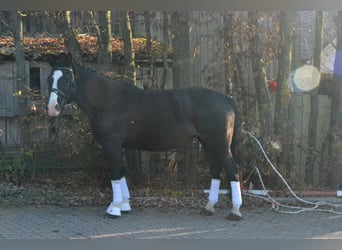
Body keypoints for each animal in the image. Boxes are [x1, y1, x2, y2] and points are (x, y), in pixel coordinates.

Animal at [46, 53, 243, 221]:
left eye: (67, 78)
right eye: (50, 79)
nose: (52, 108)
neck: (108, 101)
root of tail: (226, 98)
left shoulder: (112, 144)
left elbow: (115, 173)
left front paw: (114, 209)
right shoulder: (119, 146)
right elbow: (121, 172)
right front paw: (124, 205)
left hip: (219, 144)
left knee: (233, 169)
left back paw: (235, 211)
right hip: (208, 143)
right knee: (215, 169)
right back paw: (208, 207)